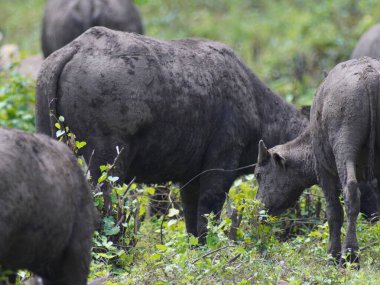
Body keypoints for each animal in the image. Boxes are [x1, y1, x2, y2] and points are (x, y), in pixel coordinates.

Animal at [35, 26, 310, 240]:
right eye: (259, 175)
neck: (255, 103)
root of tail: (76, 47)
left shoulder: (189, 179)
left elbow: (191, 220)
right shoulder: (219, 168)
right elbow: (207, 215)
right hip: (106, 164)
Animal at [254, 56, 380, 266]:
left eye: (258, 175)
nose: (259, 209)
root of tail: (371, 78)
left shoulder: (324, 172)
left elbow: (333, 212)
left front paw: (332, 255)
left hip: (344, 145)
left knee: (351, 193)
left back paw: (351, 255)